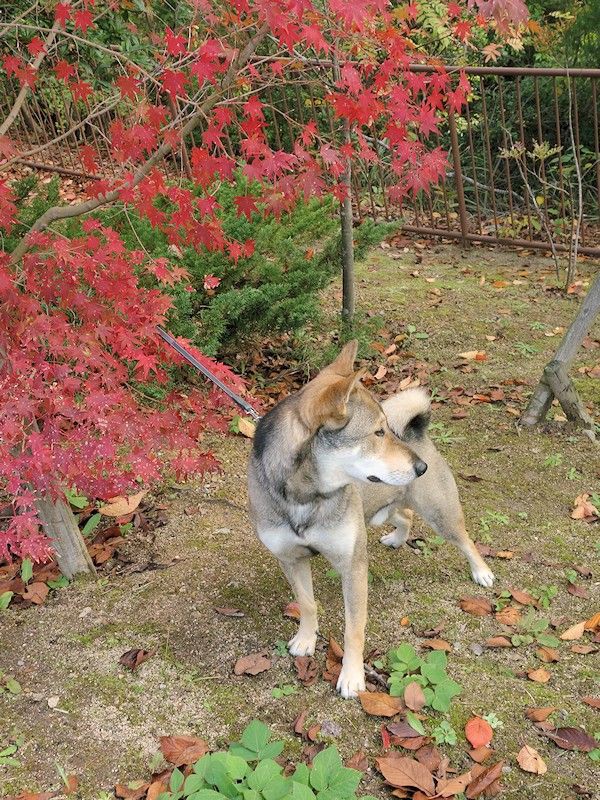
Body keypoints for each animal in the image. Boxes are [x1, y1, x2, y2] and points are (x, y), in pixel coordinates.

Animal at [246, 340, 494, 696]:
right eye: (377, 432)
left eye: (386, 429)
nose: (420, 467)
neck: (307, 496)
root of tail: (417, 435)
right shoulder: (290, 558)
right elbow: (306, 603)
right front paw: (306, 639)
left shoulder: (353, 566)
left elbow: (353, 630)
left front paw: (352, 676)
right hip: (381, 512)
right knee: (404, 515)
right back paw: (398, 537)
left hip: (441, 515)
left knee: (465, 540)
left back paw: (482, 571)